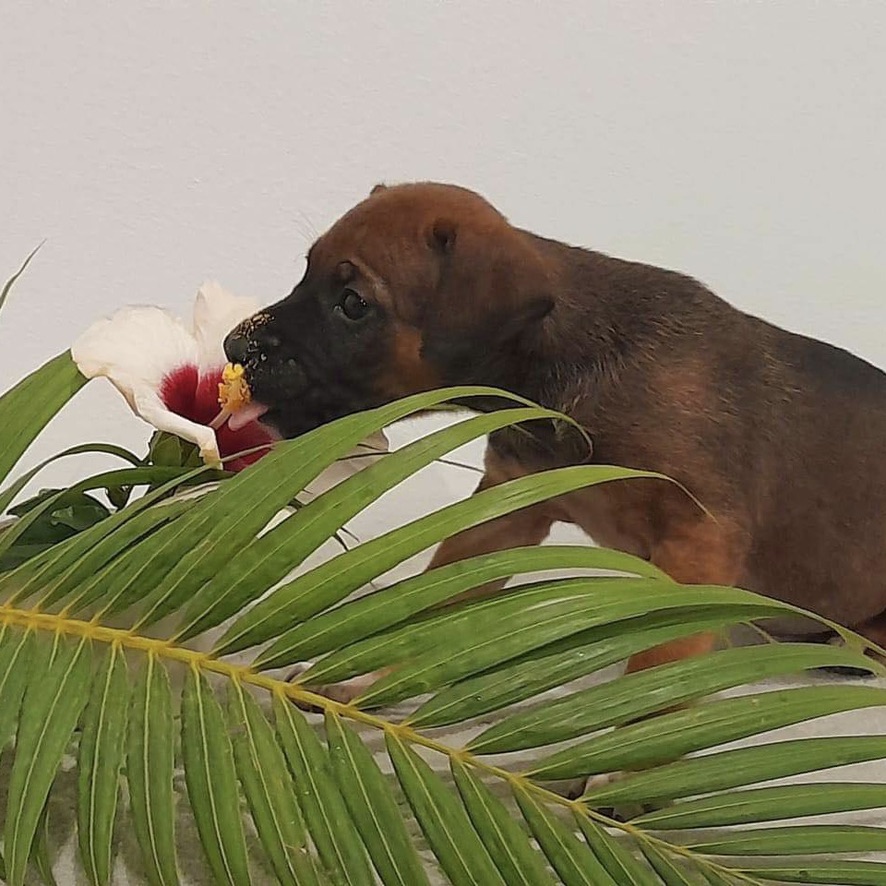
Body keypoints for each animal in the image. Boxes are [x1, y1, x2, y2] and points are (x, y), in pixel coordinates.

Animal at [225, 182, 886, 692]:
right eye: (305, 272)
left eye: (353, 303)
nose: (235, 347)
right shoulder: (506, 507)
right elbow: (441, 597)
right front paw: (373, 674)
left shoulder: (701, 535)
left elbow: (661, 664)